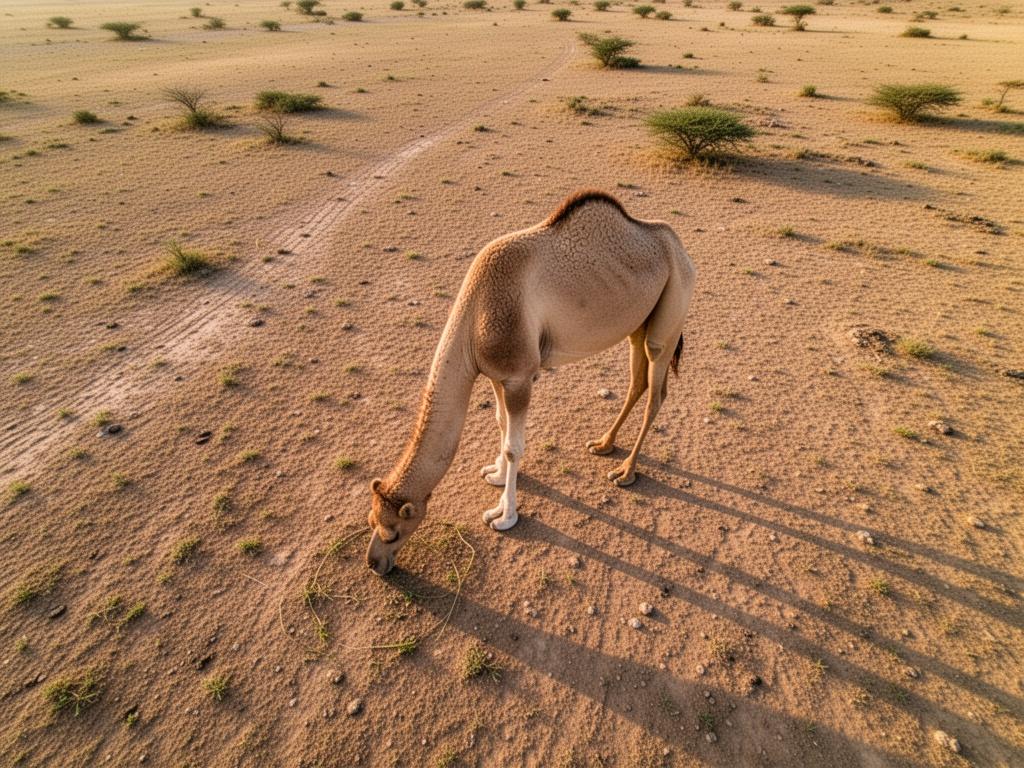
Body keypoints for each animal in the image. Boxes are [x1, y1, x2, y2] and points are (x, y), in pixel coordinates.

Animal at [366, 190, 696, 575]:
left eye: (393, 532)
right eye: (373, 522)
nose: (374, 563)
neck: (475, 313)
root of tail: (680, 248)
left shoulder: (520, 376)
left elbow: (514, 445)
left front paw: (503, 515)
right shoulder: (496, 374)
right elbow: (500, 423)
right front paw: (495, 473)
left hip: (671, 310)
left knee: (657, 389)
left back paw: (625, 471)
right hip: (638, 324)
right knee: (637, 382)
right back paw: (603, 444)